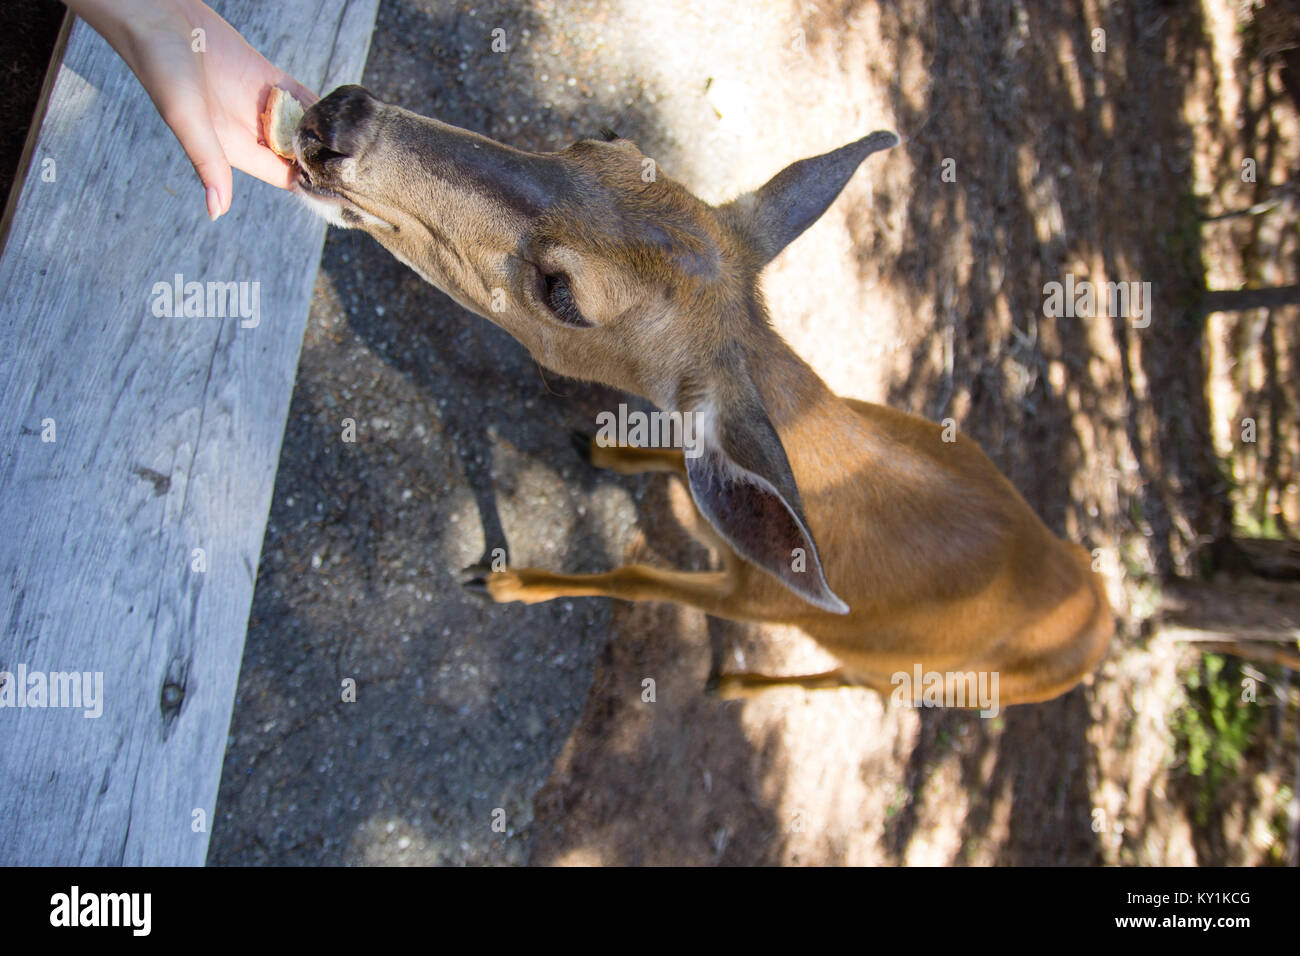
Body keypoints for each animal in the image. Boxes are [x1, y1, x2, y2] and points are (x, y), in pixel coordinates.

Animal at [289, 85, 1112, 707]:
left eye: (562, 291)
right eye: (601, 138)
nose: (340, 119)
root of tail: (1100, 615)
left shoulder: (754, 596)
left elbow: (637, 578)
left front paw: (506, 581)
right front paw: (600, 449)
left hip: (917, 677)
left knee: (852, 683)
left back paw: (735, 684)